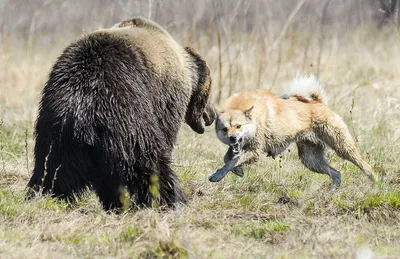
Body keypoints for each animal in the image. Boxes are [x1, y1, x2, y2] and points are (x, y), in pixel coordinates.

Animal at [26, 17, 214, 211]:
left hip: (58, 131)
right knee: (148, 160)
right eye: (209, 93)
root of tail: (83, 107)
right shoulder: (166, 99)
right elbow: (166, 137)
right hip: (126, 115)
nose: (211, 115)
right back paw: (173, 200)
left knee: (52, 170)